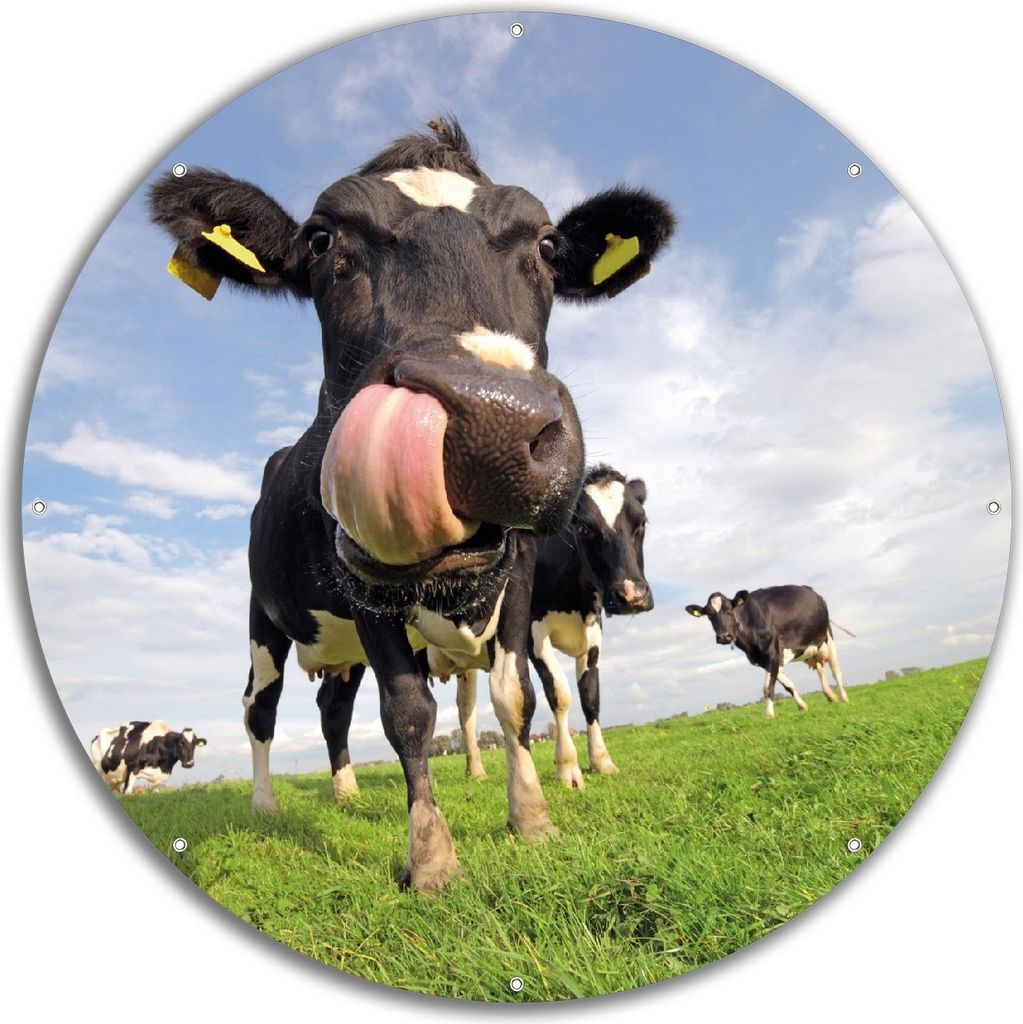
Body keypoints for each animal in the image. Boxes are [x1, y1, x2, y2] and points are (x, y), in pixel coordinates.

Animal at [443, 465, 652, 787]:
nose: (632, 596)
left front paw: (601, 760)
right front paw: (568, 767)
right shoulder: (533, 634)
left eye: (641, 523)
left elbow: (591, 696)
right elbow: (559, 694)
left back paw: (475, 770)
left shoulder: (593, 633)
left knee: (466, 708)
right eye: (585, 528)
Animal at [685, 585, 849, 717]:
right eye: (709, 616)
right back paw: (830, 696)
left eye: (729, 611)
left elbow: (767, 688)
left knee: (836, 670)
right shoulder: (765, 659)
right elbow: (788, 685)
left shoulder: (773, 653)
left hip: (827, 637)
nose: (724, 637)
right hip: (813, 649)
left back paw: (843, 698)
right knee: (820, 668)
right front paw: (802, 706)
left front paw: (769, 714)